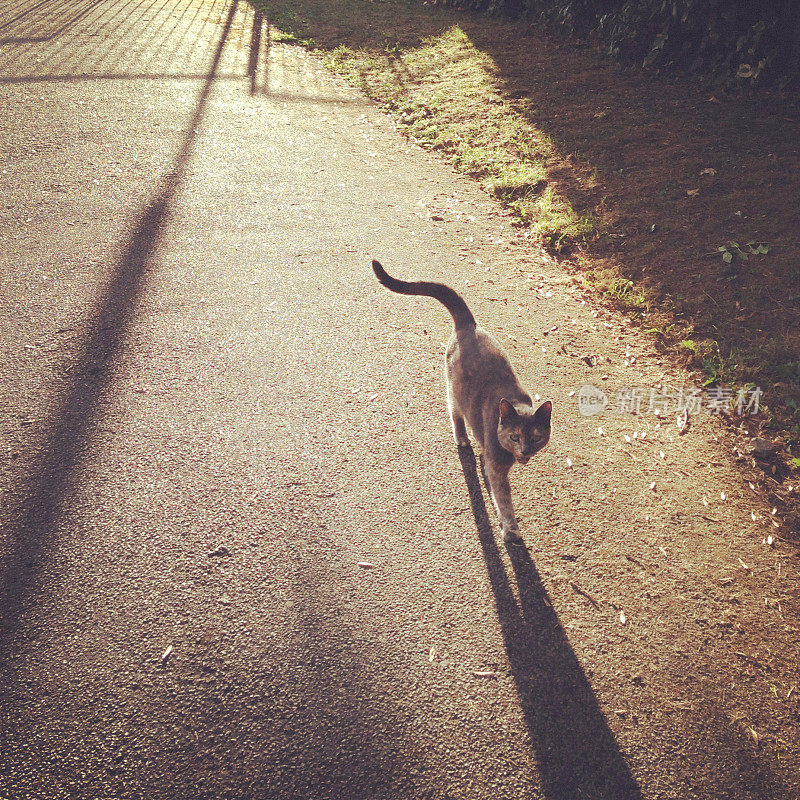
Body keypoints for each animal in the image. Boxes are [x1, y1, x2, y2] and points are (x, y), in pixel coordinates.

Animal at [374, 262, 552, 544]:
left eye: (536, 438)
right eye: (514, 436)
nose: (525, 451)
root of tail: (469, 323)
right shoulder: (496, 465)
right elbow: (504, 499)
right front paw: (511, 529)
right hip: (454, 388)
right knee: (454, 411)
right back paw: (461, 437)